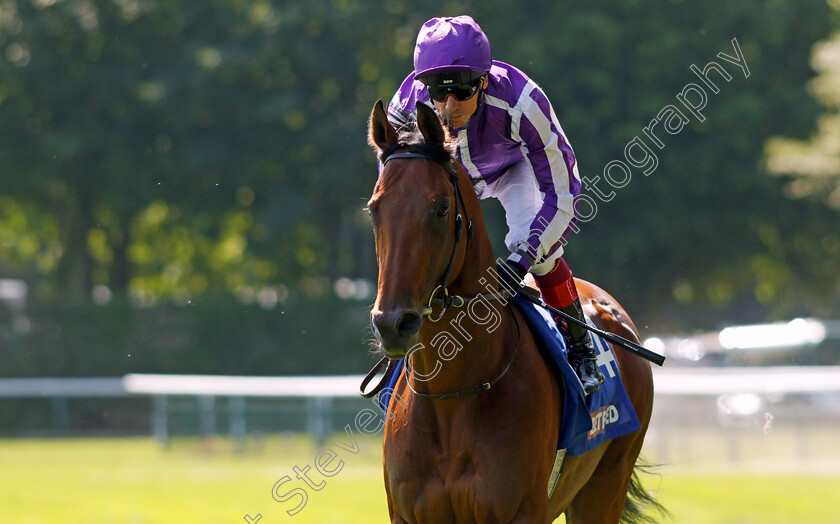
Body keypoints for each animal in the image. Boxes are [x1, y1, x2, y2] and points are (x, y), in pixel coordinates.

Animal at [368, 99, 664, 524]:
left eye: (441, 208)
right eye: (375, 209)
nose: (393, 323)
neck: (451, 395)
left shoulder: (522, 510)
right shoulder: (407, 514)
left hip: (607, 480)